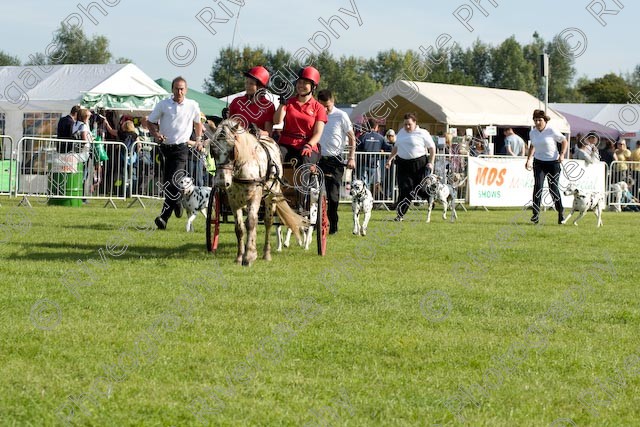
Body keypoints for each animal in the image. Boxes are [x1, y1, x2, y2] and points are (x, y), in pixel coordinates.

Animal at [206, 117, 304, 264]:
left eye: (233, 150)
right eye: (213, 150)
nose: (222, 181)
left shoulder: (254, 197)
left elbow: (251, 222)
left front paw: (249, 255)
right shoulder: (233, 201)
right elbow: (239, 228)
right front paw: (239, 256)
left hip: (271, 195)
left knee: (268, 222)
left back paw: (266, 253)